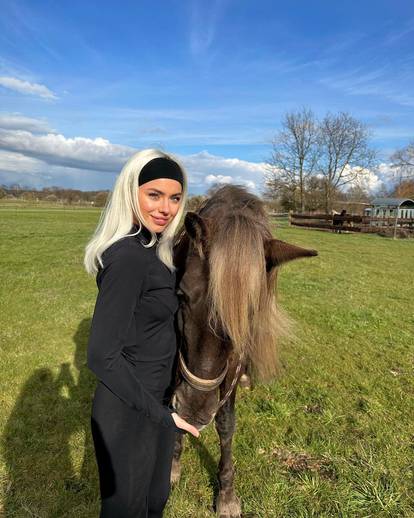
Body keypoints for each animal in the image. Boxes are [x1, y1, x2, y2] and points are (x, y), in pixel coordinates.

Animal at [170, 185, 316, 516]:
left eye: (249, 315)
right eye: (181, 295)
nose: (195, 410)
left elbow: (226, 424)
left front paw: (226, 495)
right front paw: (172, 463)